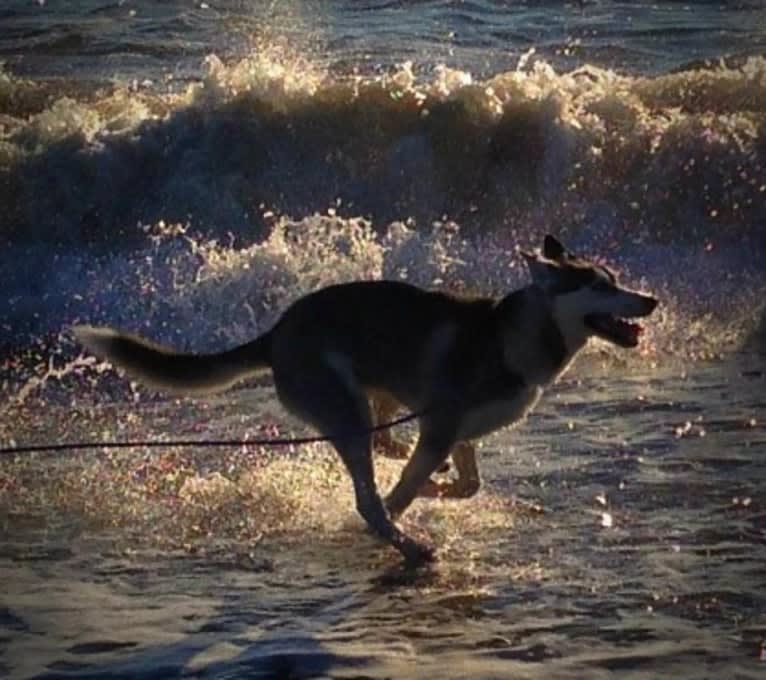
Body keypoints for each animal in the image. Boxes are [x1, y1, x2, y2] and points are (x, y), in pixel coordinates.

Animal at [73, 234, 660, 564]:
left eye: (616, 279)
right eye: (601, 286)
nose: (651, 300)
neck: (511, 338)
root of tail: (278, 330)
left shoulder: (456, 431)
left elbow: (467, 483)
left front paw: (439, 487)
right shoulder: (441, 424)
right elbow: (402, 492)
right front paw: (411, 499)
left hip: (374, 394)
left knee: (385, 447)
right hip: (347, 410)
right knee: (368, 497)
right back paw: (408, 545)